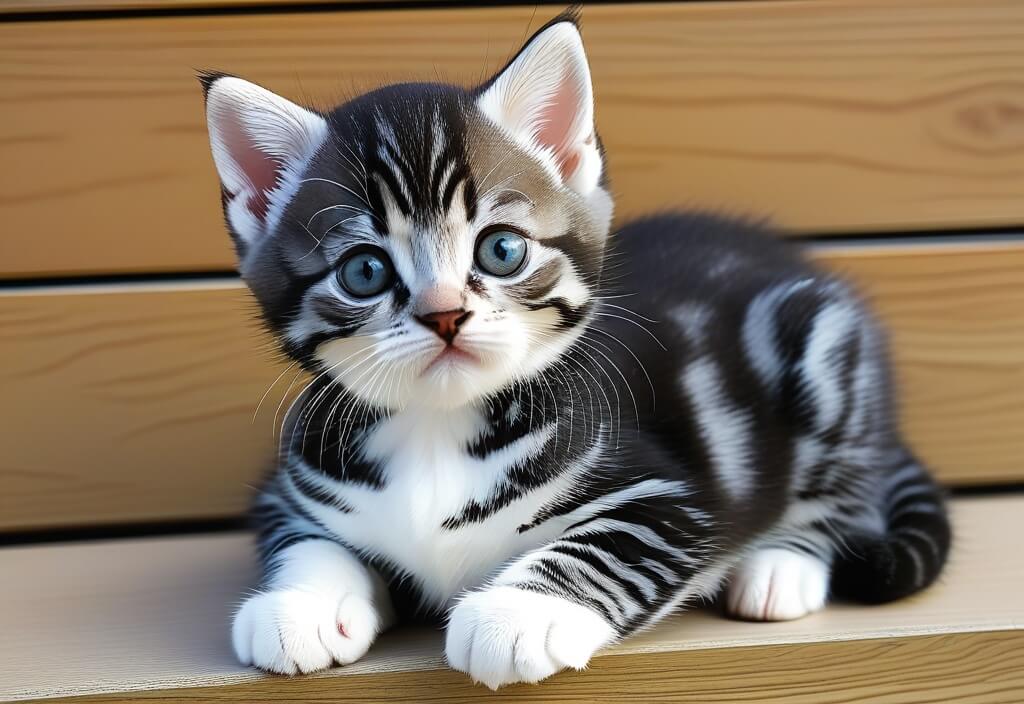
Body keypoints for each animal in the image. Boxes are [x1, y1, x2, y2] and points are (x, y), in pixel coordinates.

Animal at [199, 11, 950, 691]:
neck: (437, 427)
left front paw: (519, 613)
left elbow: (606, 544)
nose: (444, 314)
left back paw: (781, 565)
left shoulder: (669, 497)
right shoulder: (290, 482)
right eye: (364, 271)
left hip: (824, 345)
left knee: (842, 492)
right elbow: (306, 538)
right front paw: (298, 605)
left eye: (501, 249)